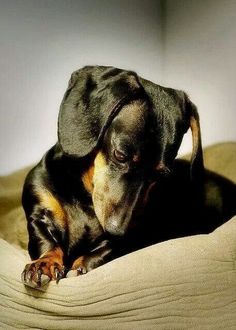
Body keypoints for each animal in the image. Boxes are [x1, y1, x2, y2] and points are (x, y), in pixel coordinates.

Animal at [21, 65, 235, 288]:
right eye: (120, 155)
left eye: (161, 174)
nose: (118, 231)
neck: (85, 196)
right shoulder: (39, 212)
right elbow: (47, 242)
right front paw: (43, 264)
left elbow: (106, 250)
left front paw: (82, 265)